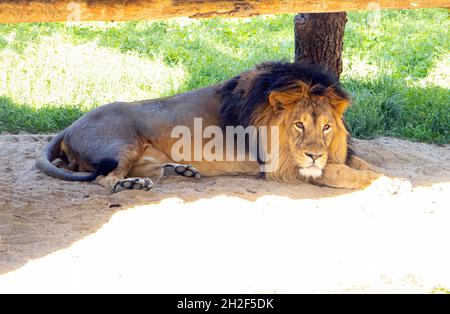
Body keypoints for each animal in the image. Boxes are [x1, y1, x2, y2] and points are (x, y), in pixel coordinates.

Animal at [35, 61, 410, 193]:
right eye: (299, 125)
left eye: (328, 127)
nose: (315, 154)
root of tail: (70, 126)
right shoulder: (283, 166)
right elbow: (344, 174)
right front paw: (388, 183)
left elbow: (359, 164)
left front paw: (391, 177)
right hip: (121, 145)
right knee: (103, 178)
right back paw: (131, 184)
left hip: (146, 156)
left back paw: (183, 170)